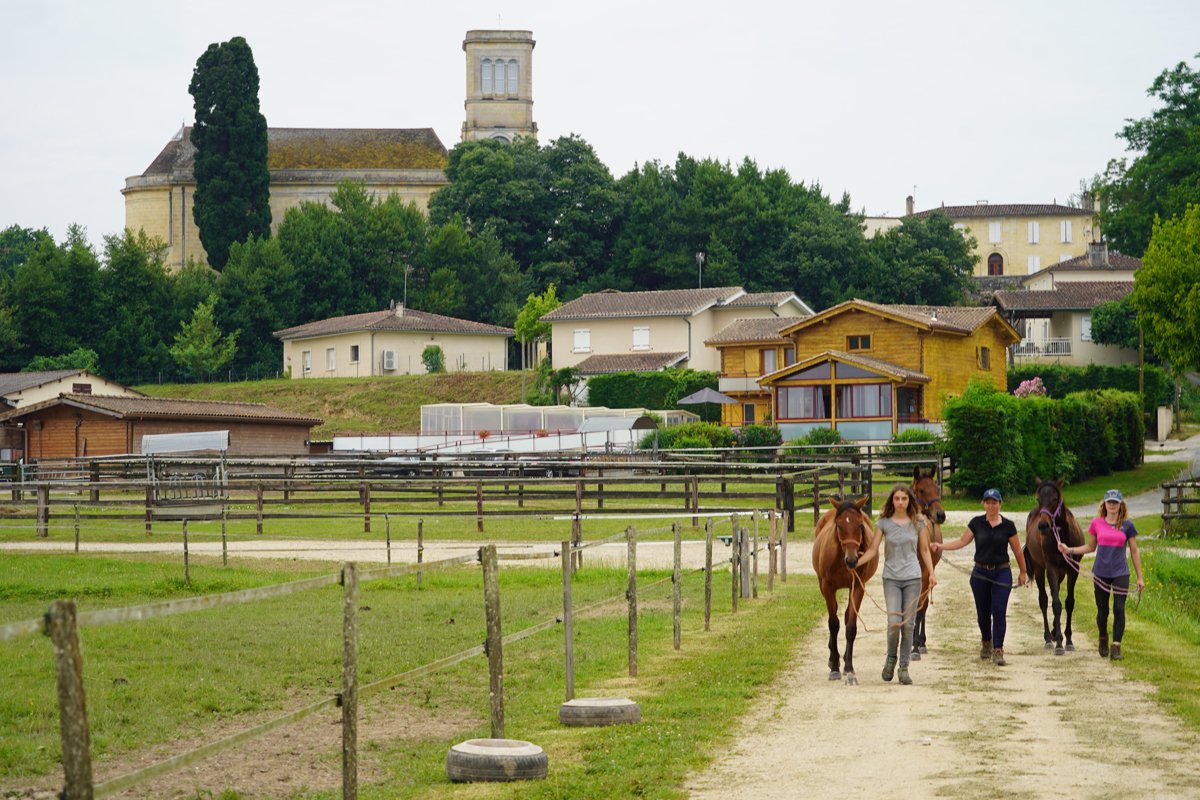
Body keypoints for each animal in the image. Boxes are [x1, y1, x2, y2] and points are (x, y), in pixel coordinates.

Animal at [811, 495, 877, 685]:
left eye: (860, 525)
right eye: (839, 525)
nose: (852, 560)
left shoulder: (858, 587)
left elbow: (851, 626)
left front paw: (849, 669)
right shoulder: (827, 586)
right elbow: (833, 624)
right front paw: (834, 667)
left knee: (847, 616)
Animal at [1024, 477, 1084, 655]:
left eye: (1055, 499)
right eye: (1038, 499)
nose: (1043, 526)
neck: (1063, 536)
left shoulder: (1073, 570)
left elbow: (1069, 603)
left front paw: (1068, 640)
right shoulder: (1050, 568)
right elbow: (1056, 604)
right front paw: (1058, 643)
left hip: (1061, 573)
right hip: (1039, 569)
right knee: (1044, 600)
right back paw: (1049, 638)